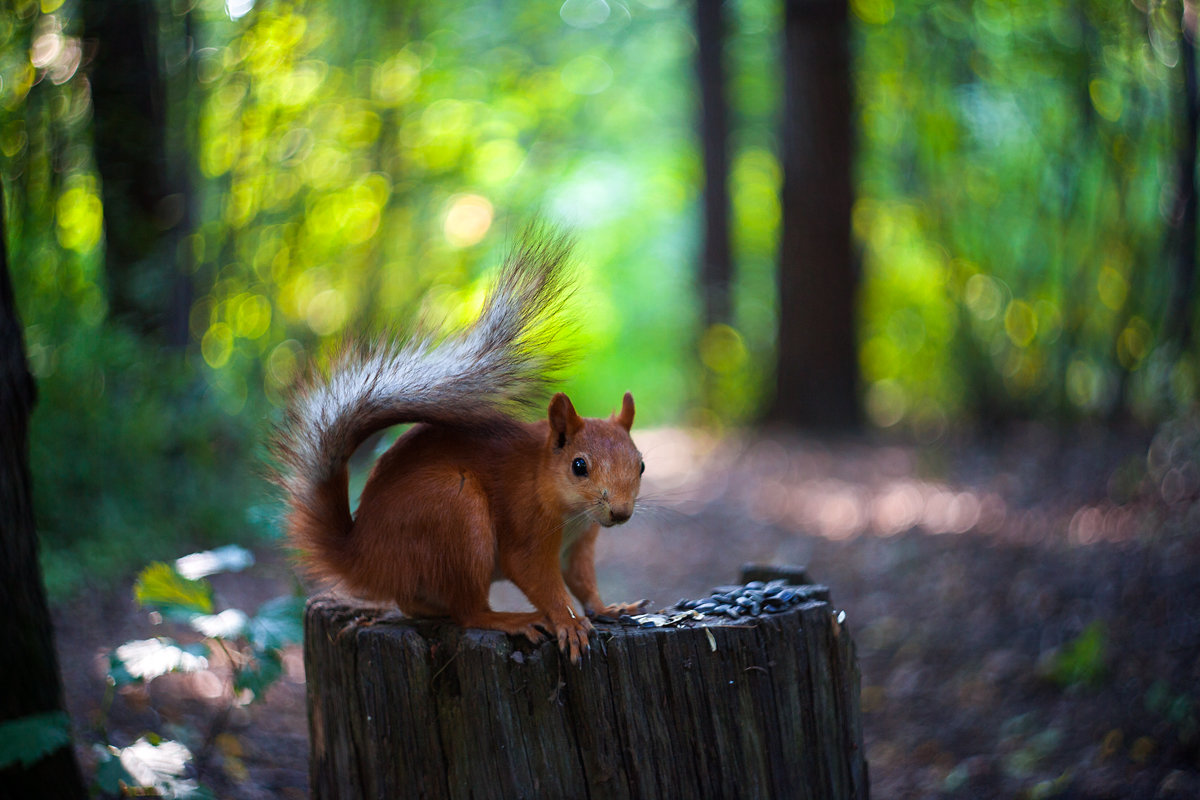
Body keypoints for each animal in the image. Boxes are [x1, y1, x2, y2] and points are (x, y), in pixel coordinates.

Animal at [272, 226, 648, 662]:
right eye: (579, 466)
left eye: (641, 465)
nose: (620, 512)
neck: (566, 505)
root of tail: (363, 558)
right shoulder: (527, 529)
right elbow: (539, 580)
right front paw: (568, 623)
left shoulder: (579, 545)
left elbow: (583, 581)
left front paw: (608, 609)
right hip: (456, 516)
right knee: (468, 612)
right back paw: (508, 619)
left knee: (419, 605)